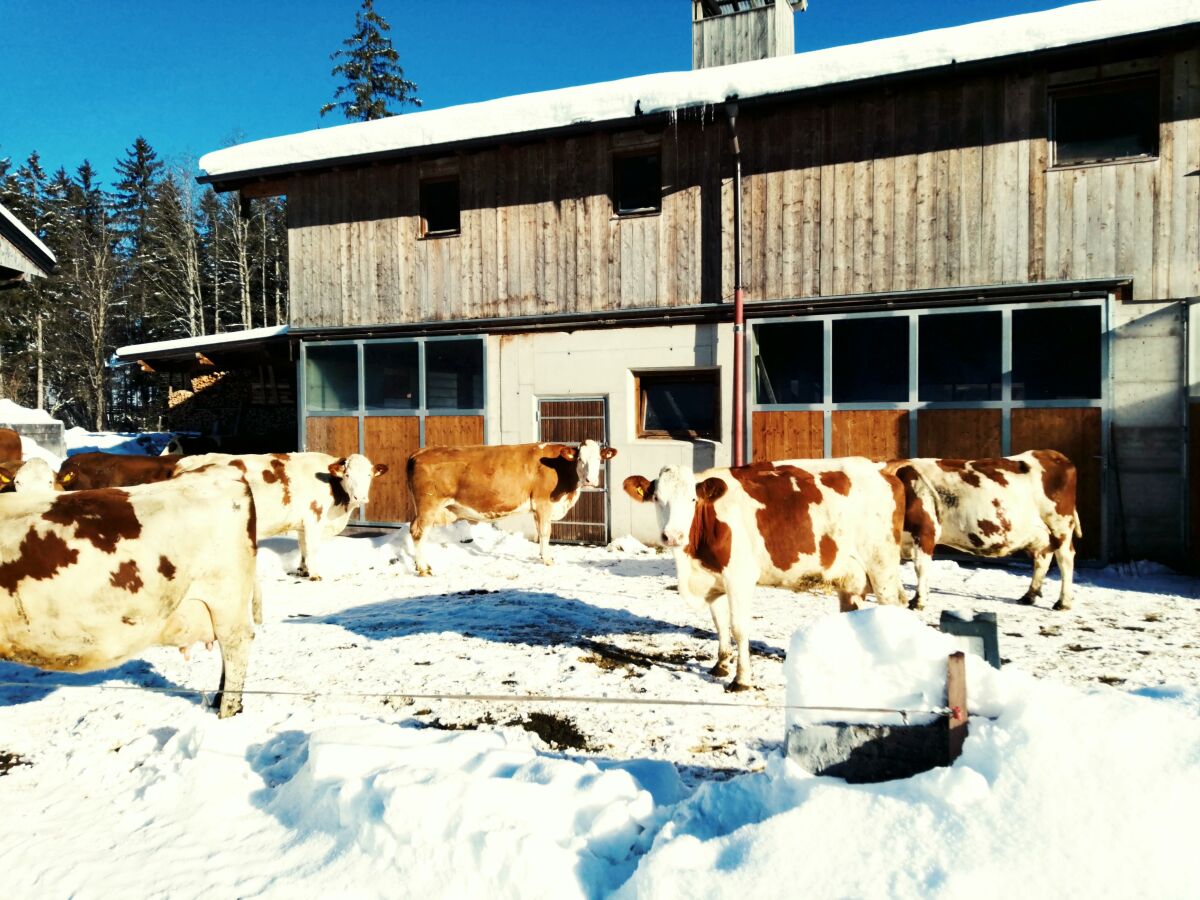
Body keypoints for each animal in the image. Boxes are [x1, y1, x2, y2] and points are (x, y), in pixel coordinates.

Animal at [410, 441, 619, 578]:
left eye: (599, 458)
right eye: (580, 460)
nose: (591, 480)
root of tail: (419, 452)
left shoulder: (537, 509)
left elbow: (539, 532)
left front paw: (542, 555)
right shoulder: (543, 503)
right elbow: (545, 532)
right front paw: (548, 560)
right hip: (429, 505)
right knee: (419, 532)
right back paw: (423, 568)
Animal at [624, 460, 902, 696]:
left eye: (693, 499)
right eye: (657, 498)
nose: (673, 536)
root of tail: (882, 469)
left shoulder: (739, 578)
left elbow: (738, 628)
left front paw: (741, 680)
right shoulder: (714, 580)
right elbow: (720, 624)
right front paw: (721, 665)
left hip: (882, 567)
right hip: (852, 576)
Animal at [888, 451, 1084, 614]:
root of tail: (1054, 455)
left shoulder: (925, 531)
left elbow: (920, 567)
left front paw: (918, 601)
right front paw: (899, 598)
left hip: (1060, 526)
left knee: (1065, 559)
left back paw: (1063, 602)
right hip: (1042, 533)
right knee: (1043, 557)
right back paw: (1029, 596)